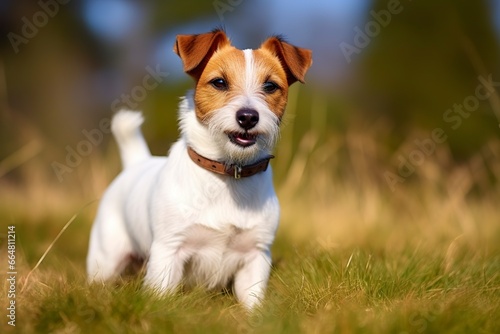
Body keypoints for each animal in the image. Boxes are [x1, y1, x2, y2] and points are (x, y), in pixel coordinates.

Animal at [86, 28, 312, 308]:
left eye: (270, 86)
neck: (228, 173)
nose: (248, 117)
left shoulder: (255, 256)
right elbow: (161, 295)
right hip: (106, 261)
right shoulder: (168, 251)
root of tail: (137, 161)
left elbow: (252, 302)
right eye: (219, 82)